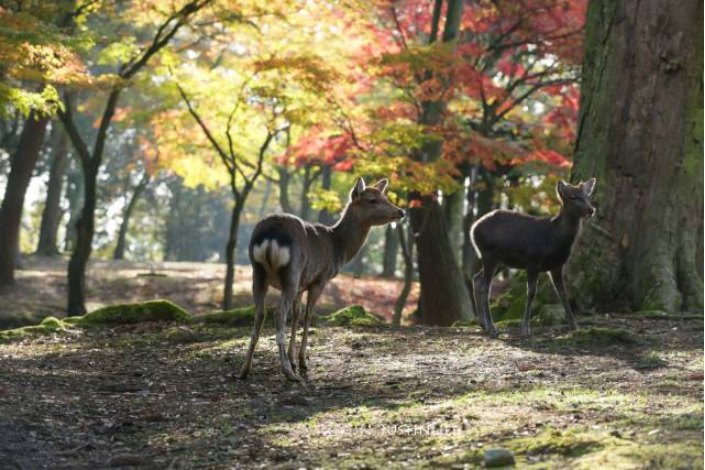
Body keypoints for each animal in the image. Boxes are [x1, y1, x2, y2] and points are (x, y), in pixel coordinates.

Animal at [239, 176, 405, 381]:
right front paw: (302, 362)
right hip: (291, 272)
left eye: (385, 196)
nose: (401, 211)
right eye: (372, 200)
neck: (338, 248)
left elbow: (297, 314)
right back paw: (288, 372)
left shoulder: (302, 285)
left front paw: (293, 359)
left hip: (258, 272)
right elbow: (309, 315)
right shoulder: (320, 279)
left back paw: (245, 369)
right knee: (278, 314)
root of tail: (271, 235)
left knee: (259, 314)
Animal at [470, 178, 597, 338]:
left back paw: (483, 325)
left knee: (477, 279)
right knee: (486, 287)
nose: (591, 210)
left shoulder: (557, 266)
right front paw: (525, 330)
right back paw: (492, 329)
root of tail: (473, 228)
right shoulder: (532, 261)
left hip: (501, 261)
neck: (555, 238)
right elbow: (531, 293)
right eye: (572, 197)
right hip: (488, 253)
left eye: (587, 196)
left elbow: (563, 294)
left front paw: (575, 327)